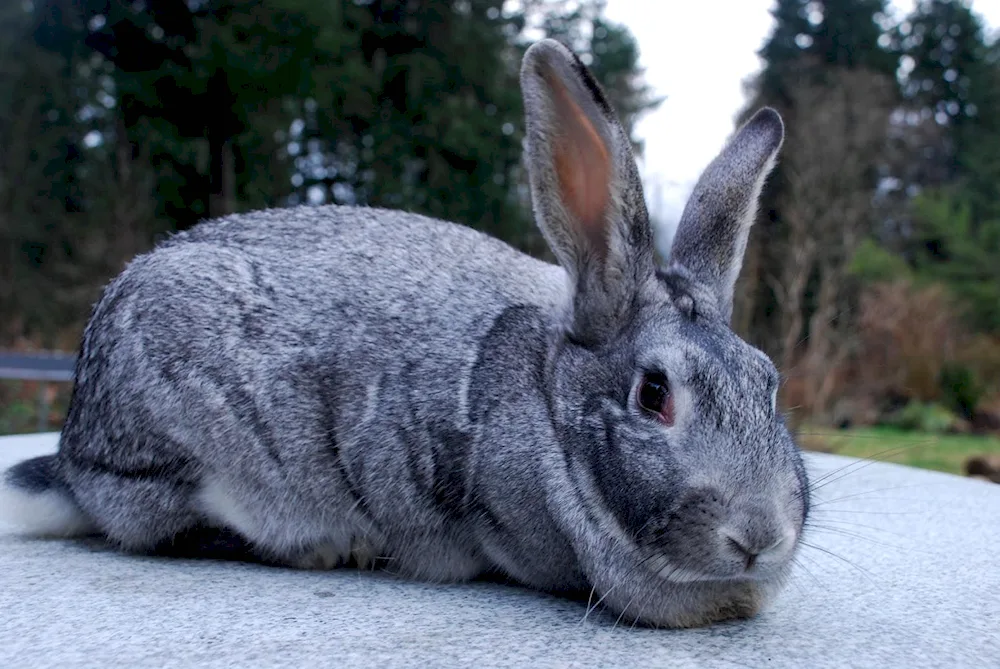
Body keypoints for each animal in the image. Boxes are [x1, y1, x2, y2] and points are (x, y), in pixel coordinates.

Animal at [0, 39, 808, 628]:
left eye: (770, 385)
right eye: (653, 394)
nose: (760, 536)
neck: (549, 405)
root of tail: (74, 446)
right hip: (182, 448)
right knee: (173, 529)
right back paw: (337, 547)